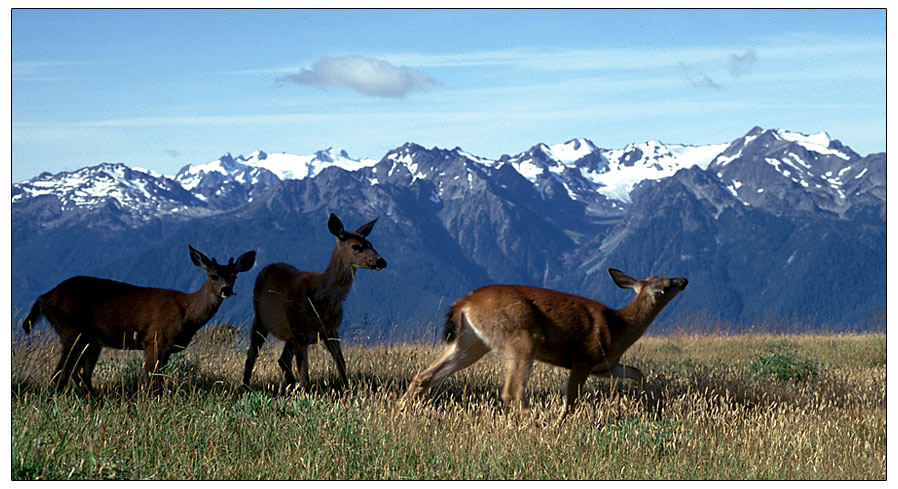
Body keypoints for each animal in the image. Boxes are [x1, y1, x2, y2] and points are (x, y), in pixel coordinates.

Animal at [20, 246, 256, 394]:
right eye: (213, 276)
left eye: (234, 276)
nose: (226, 290)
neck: (187, 314)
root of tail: (44, 297)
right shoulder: (154, 339)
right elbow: (152, 380)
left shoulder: (165, 348)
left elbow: (158, 379)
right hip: (71, 330)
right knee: (61, 372)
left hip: (91, 340)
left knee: (79, 374)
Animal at [243, 214, 386, 392]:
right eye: (356, 246)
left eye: (371, 244)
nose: (381, 262)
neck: (321, 300)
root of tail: (267, 268)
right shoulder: (300, 332)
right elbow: (304, 372)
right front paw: (305, 394)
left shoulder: (330, 330)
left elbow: (341, 363)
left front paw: (348, 390)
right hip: (260, 320)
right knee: (251, 355)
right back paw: (246, 388)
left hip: (289, 334)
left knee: (282, 360)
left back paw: (291, 386)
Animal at [400, 268, 688, 418]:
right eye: (668, 283)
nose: (684, 279)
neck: (620, 328)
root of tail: (465, 302)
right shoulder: (584, 357)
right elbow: (571, 400)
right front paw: (562, 422)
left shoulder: (606, 366)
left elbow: (638, 373)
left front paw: (648, 402)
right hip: (522, 336)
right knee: (512, 391)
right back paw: (538, 423)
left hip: (471, 342)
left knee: (424, 375)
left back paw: (401, 411)